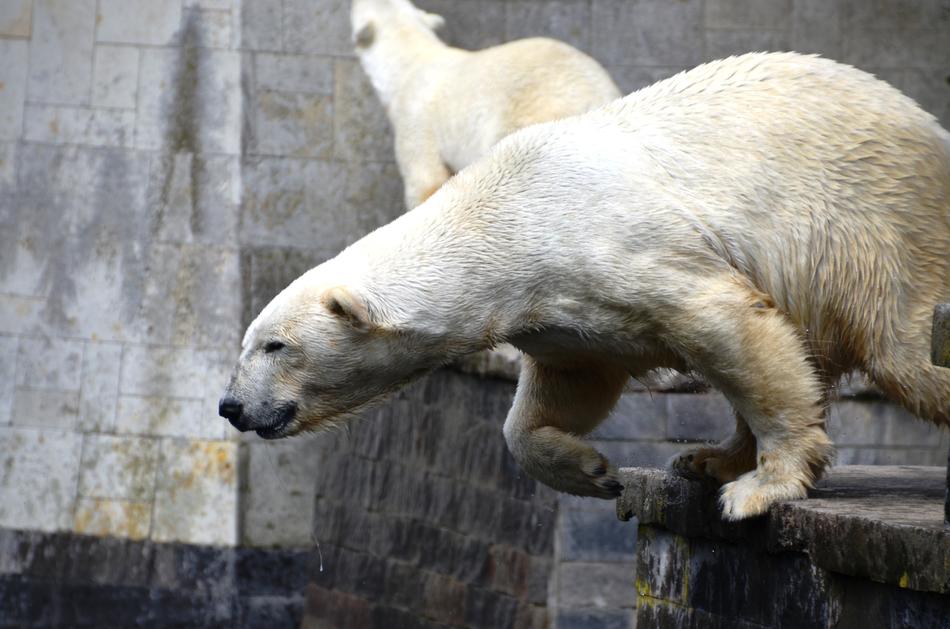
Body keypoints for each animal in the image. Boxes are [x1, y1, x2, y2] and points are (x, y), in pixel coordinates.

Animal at [220, 53, 950, 520]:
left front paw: (763, 488)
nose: (231, 406)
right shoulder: (557, 307)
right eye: (248, 343)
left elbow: (728, 324)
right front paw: (595, 472)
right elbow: (565, 387)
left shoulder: (624, 249)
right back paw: (707, 458)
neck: (508, 216)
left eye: (275, 346)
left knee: (905, 356)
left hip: (883, 233)